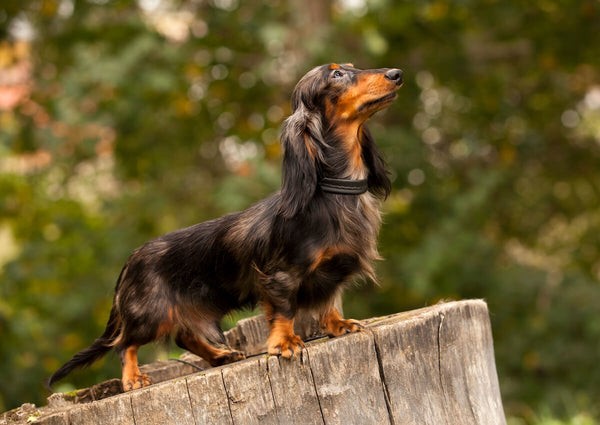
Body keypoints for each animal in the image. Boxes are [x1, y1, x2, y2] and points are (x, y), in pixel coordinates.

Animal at [48, 63, 404, 390]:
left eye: (352, 67)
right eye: (337, 74)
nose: (396, 74)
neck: (334, 193)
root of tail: (131, 259)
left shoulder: (333, 272)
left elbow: (329, 302)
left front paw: (338, 324)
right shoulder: (281, 275)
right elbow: (284, 310)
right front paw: (284, 343)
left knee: (184, 338)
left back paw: (220, 356)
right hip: (151, 314)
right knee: (125, 344)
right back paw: (133, 377)